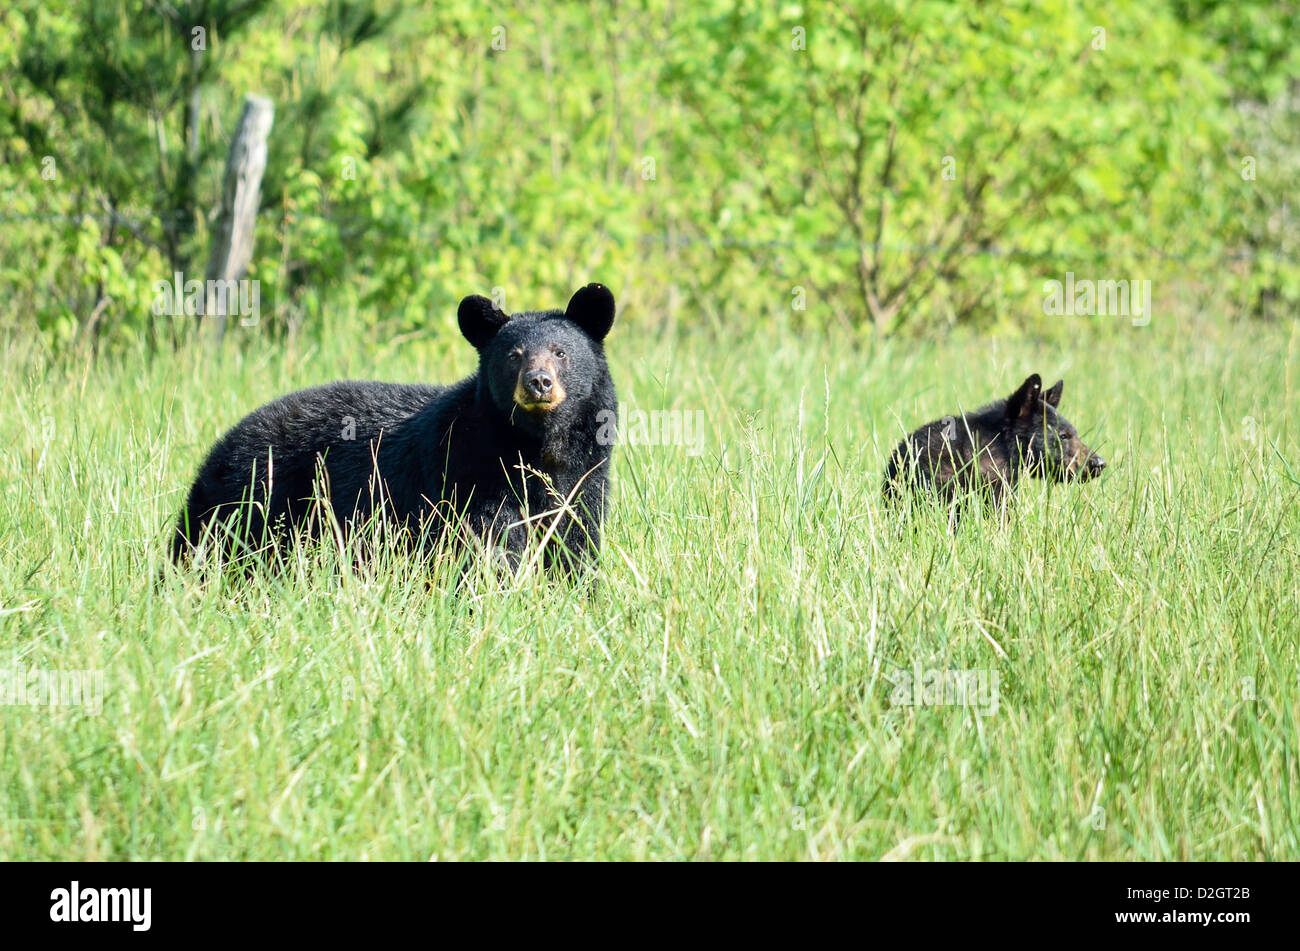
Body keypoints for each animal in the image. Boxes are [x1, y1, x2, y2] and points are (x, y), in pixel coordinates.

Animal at [171, 281, 618, 576]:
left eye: (560, 353)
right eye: (514, 355)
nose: (538, 382)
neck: (539, 444)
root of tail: (221, 445)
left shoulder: (585, 473)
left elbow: (576, 539)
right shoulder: (474, 474)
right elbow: (491, 541)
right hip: (251, 501)